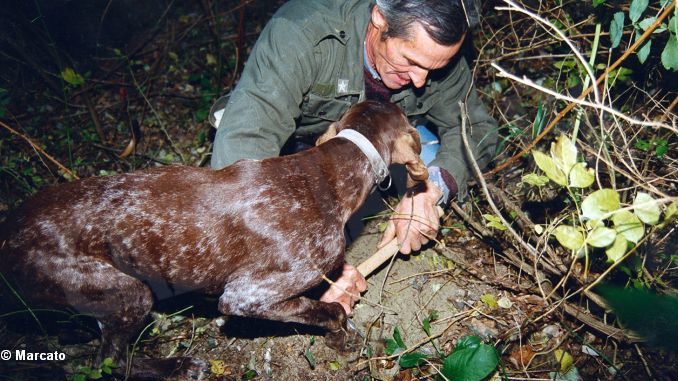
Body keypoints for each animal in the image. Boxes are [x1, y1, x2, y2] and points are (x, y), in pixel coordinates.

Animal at [0, 99, 428, 378]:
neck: (326, 175)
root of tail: (9, 235)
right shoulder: (247, 296)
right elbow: (332, 311)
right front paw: (345, 340)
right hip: (128, 293)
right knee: (109, 362)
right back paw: (178, 365)